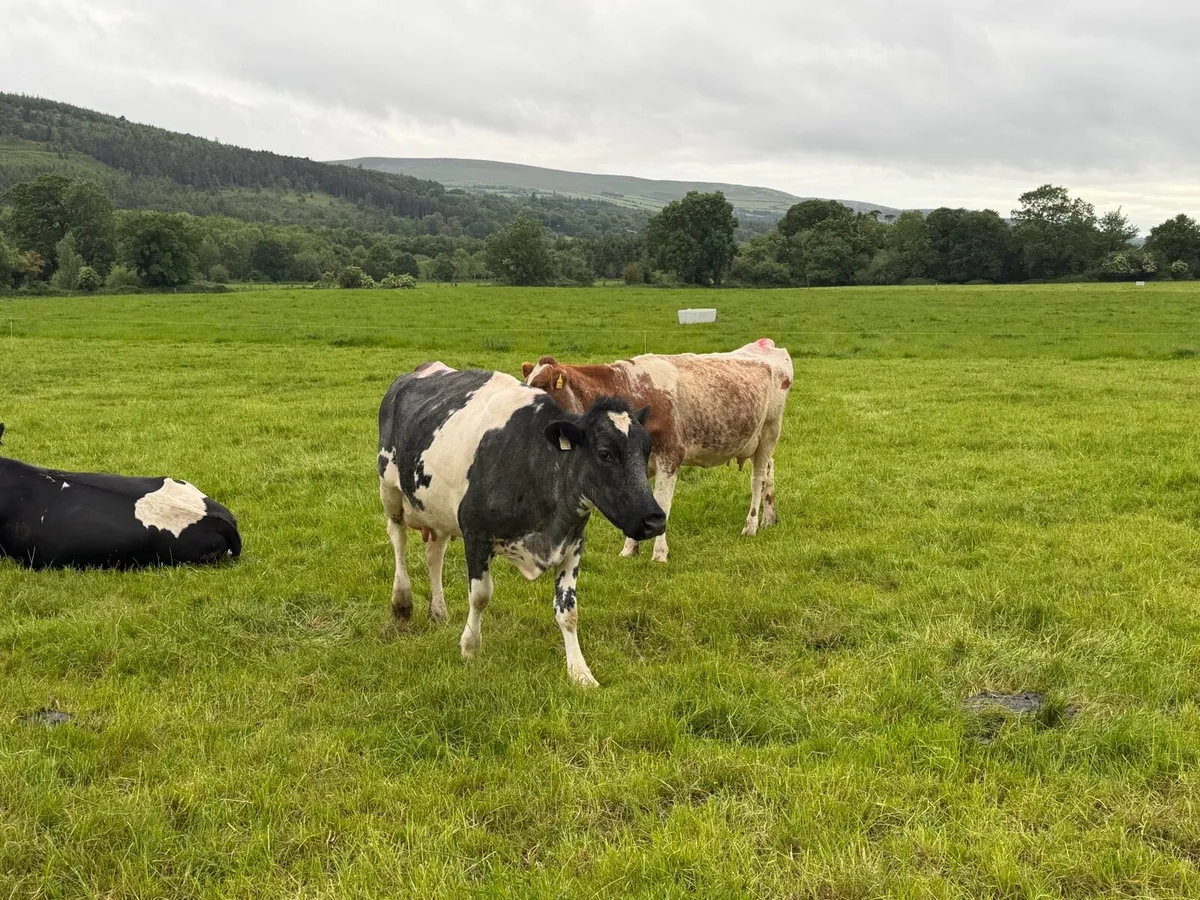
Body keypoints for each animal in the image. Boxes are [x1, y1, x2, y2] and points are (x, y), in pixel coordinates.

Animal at [377, 361, 666, 686]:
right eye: (605, 453)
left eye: (646, 450)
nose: (654, 520)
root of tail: (423, 368)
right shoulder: (476, 535)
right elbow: (480, 596)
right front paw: (470, 648)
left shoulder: (572, 543)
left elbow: (569, 612)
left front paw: (580, 672)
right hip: (389, 489)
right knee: (398, 538)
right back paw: (402, 602)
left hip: (436, 508)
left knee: (434, 554)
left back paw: (438, 611)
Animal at [521, 338, 793, 563]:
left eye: (543, 386)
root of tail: (765, 344)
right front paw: (629, 549)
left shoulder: (670, 456)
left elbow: (662, 502)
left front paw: (660, 554)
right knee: (770, 470)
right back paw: (769, 518)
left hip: (770, 431)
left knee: (757, 478)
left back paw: (751, 525)